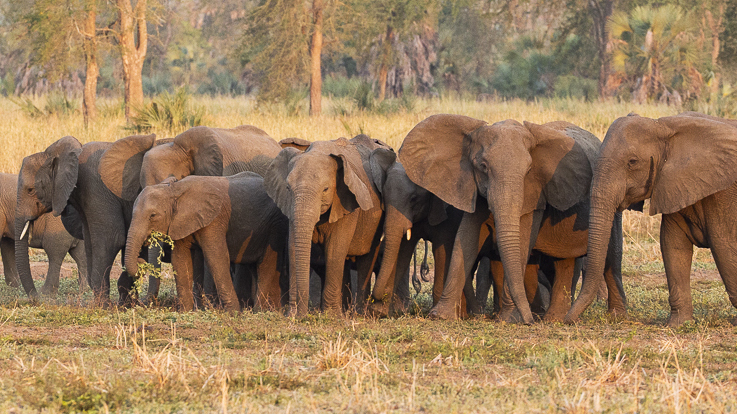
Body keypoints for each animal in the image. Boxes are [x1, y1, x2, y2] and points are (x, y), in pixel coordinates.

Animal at [124, 172, 288, 312]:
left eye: (152, 215)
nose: (141, 261)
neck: (174, 190)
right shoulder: (180, 221)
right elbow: (180, 260)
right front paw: (186, 312)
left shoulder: (214, 220)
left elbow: (216, 257)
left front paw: (234, 313)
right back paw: (270, 309)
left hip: (275, 225)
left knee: (266, 264)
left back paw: (260, 311)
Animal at [264, 134, 392, 316]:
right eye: (288, 188)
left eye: (325, 189)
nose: (302, 315)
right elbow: (293, 247)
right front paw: (293, 315)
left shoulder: (347, 201)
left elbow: (334, 249)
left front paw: (330, 316)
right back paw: (345, 311)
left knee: (366, 259)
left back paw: (359, 313)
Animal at [366, 148, 464, 317]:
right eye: (384, 197)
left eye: (413, 199)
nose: (374, 298)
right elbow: (402, 251)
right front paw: (380, 312)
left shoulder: (447, 213)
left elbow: (441, 252)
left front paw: (435, 314)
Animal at [399, 114, 624, 323]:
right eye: (483, 166)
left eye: (528, 170)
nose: (529, 321)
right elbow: (466, 240)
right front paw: (441, 316)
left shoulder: (535, 194)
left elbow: (522, 240)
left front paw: (509, 320)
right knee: (564, 261)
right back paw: (551, 318)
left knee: (604, 256)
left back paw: (552, 318)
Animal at [566, 112, 737, 327]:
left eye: (632, 162)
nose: (568, 320)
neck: (663, 126)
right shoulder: (672, 184)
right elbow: (673, 245)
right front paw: (678, 325)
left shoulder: (723, 192)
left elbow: (723, 245)